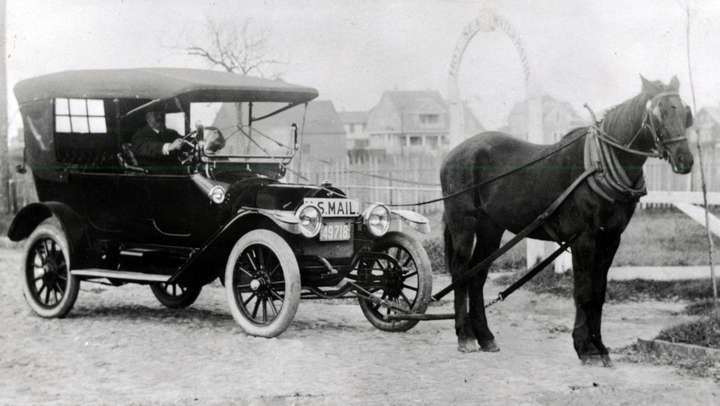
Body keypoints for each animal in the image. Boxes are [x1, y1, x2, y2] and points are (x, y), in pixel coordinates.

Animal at [442, 75, 696, 364]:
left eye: (685, 112)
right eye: (658, 113)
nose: (685, 160)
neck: (598, 165)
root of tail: (455, 152)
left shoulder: (610, 238)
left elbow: (598, 293)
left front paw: (600, 346)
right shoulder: (583, 239)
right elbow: (583, 292)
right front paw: (585, 348)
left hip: (491, 228)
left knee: (477, 274)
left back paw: (485, 337)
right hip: (463, 224)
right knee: (461, 271)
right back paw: (465, 336)